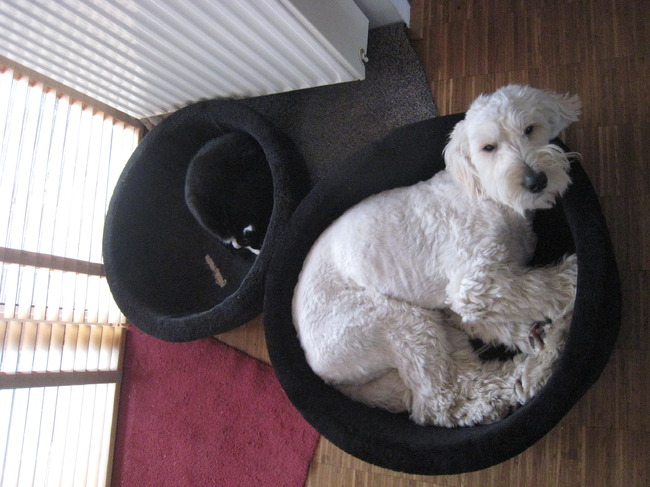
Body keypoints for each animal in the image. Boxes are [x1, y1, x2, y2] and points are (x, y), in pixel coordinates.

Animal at [292, 85, 581, 427]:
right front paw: (576, 276)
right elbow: (541, 285)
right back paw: (522, 376)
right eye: (488, 148)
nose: (536, 181)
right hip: (397, 322)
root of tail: (319, 369)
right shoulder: (475, 285)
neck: (487, 193)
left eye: (530, 129)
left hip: (425, 325)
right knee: (441, 400)